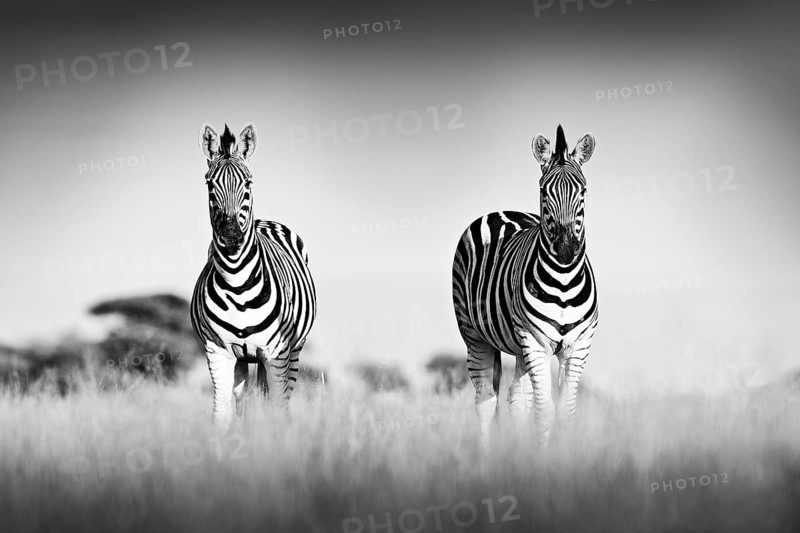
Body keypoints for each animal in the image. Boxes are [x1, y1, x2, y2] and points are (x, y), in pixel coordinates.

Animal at [191, 122, 316, 427]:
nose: (231, 236)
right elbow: (221, 414)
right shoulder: (218, 352)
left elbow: (277, 410)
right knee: (244, 400)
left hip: (294, 351)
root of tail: (264, 221)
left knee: (279, 400)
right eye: (209, 184)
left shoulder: (277, 353)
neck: (237, 284)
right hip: (244, 359)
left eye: (248, 183)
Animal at [451, 125, 598, 446]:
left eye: (583, 191)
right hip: (475, 336)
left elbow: (565, 410)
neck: (564, 282)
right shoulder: (535, 341)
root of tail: (500, 211)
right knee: (486, 399)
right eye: (544, 191)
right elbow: (544, 410)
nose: (566, 250)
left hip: (518, 346)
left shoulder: (578, 345)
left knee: (517, 399)